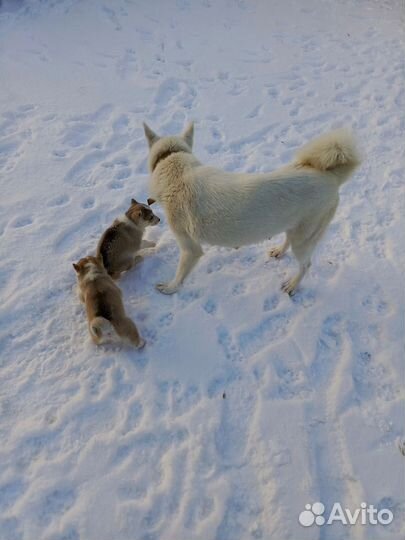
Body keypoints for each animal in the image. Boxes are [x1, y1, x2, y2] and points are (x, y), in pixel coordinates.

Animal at [144, 122, 358, 296]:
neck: (173, 164)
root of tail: (331, 177)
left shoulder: (190, 248)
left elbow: (180, 275)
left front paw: (170, 289)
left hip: (304, 238)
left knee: (306, 265)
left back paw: (292, 286)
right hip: (295, 228)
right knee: (289, 240)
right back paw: (279, 252)